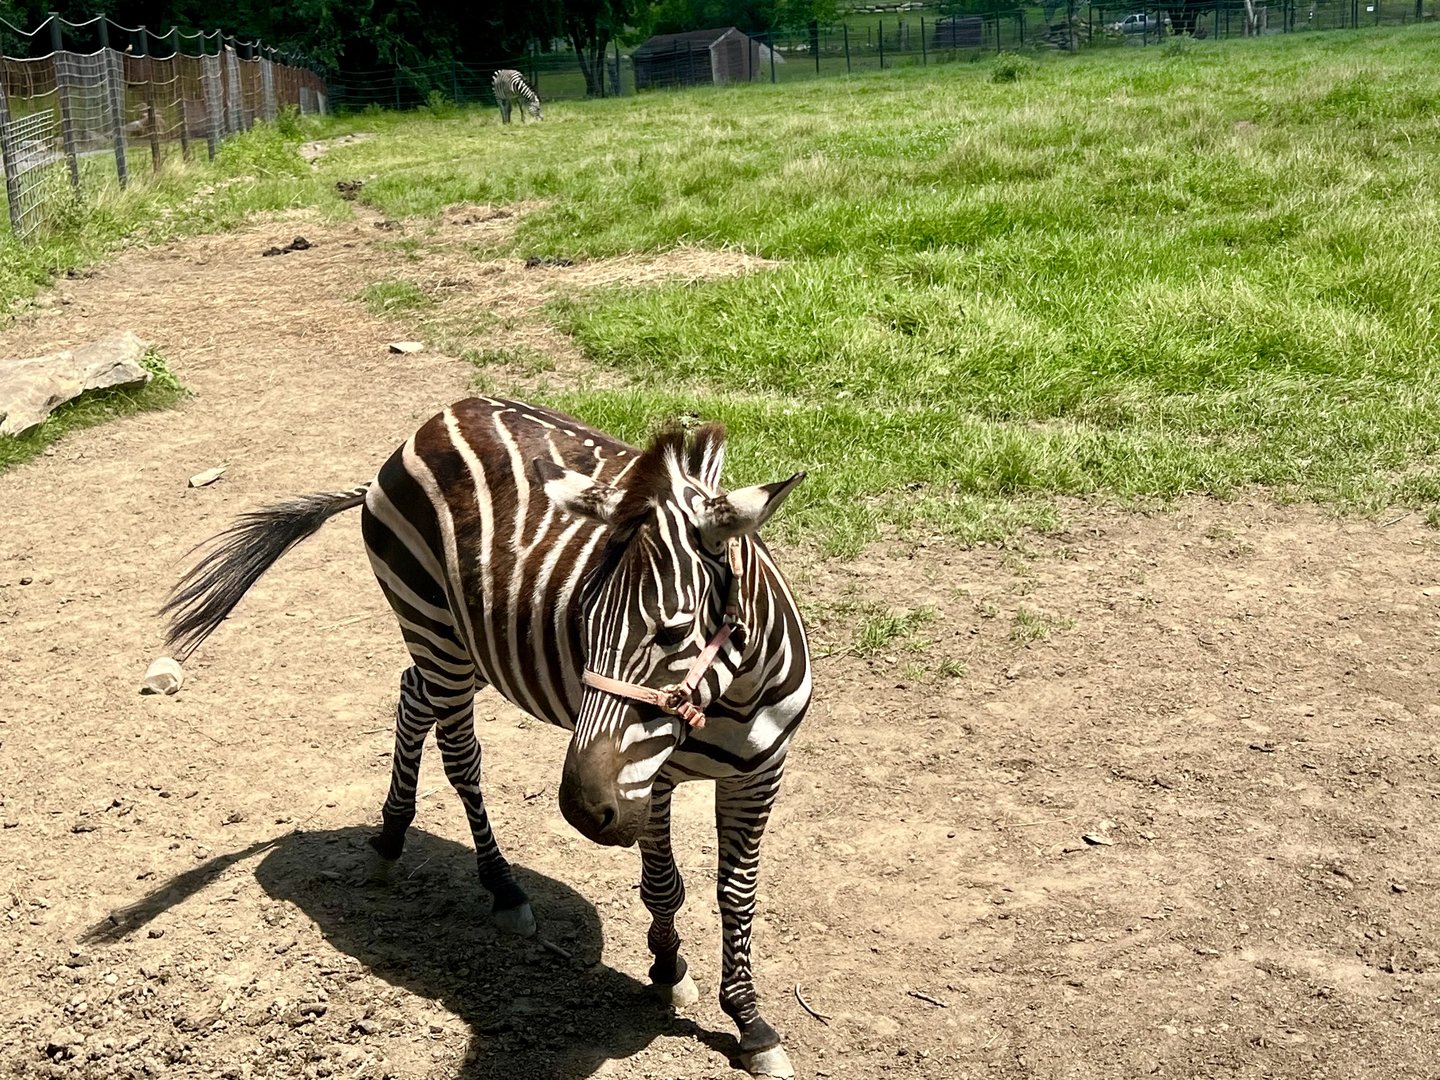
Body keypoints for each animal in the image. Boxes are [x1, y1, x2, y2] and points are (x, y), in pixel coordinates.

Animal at [162, 395, 811, 1078]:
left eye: (673, 632)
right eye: (583, 619)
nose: (582, 811)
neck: (734, 696)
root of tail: (431, 423)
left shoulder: (760, 774)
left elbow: (737, 896)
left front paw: (749, 1022)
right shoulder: (654, 779)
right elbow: (665, 884)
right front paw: (667, 969)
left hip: (471, 645)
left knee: (411, 696)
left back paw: (391, 837)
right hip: (434, 627)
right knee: (458, 755)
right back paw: (499, 886)